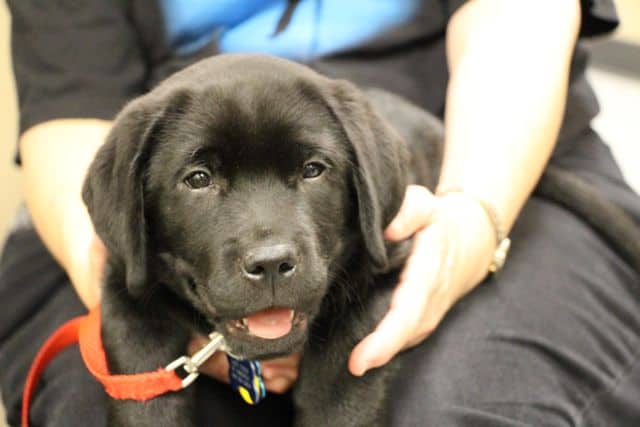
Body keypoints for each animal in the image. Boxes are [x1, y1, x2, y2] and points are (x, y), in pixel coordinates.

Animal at [82, 54, 442, 427]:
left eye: (312, 170)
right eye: (198, 179)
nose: (271, 263)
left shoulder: (378, 270)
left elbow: (339, 396)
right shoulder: (127, 287)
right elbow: (142, 390)